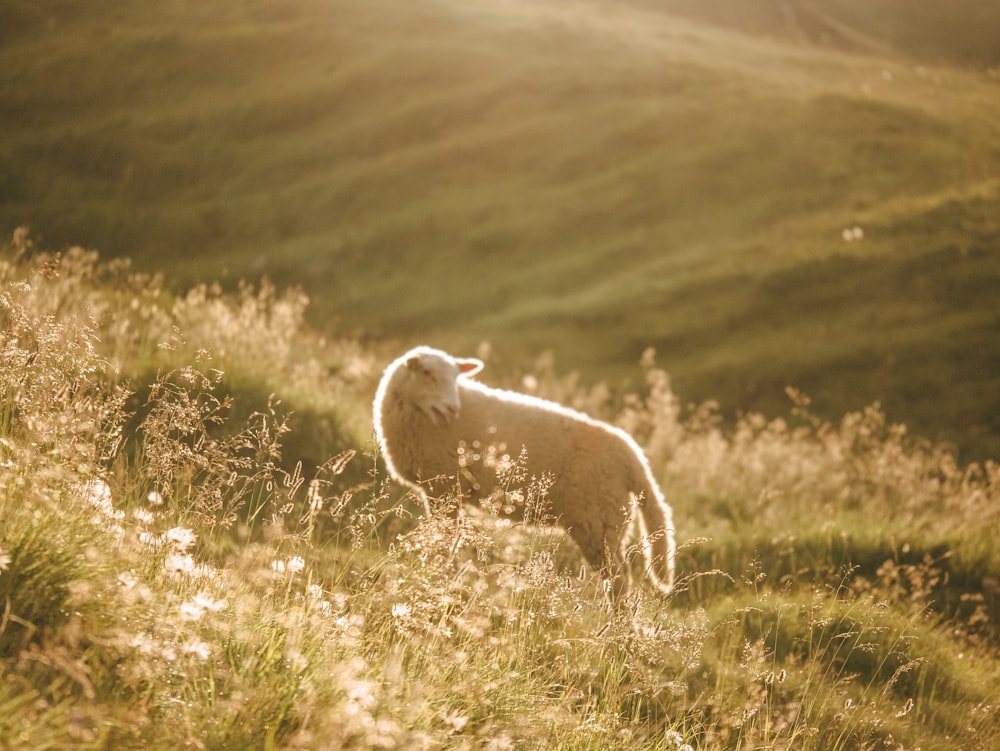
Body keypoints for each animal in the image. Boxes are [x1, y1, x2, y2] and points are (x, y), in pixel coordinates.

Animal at [372, 346, 676, 600]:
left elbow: (445, 539)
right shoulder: (441, 489)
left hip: (598, 521)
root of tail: (634, 460)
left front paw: (436, 574)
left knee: (618, 580)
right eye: (427, 373)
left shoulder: (443, 486)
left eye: (456, 377)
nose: (452, 409)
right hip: (609, 521)